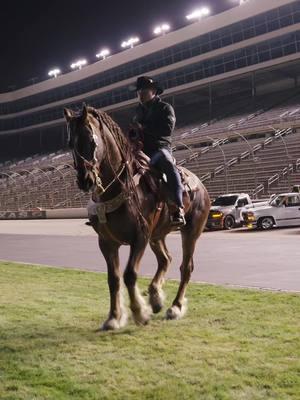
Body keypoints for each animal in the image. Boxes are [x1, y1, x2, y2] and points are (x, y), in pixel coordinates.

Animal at [63, 104, 209, 332]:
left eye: (91, 141)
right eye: (70, 143)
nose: (85, 180)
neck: (118, 186)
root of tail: (200, 185)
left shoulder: (139, 237)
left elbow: (129, 274)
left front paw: (140, 313)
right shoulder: (106, 242)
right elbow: (113, 279)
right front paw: (114, 317)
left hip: (190, 232)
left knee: (186, 267)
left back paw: (175, 307)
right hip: (157, 235)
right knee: (165, 259)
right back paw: (156, 297)